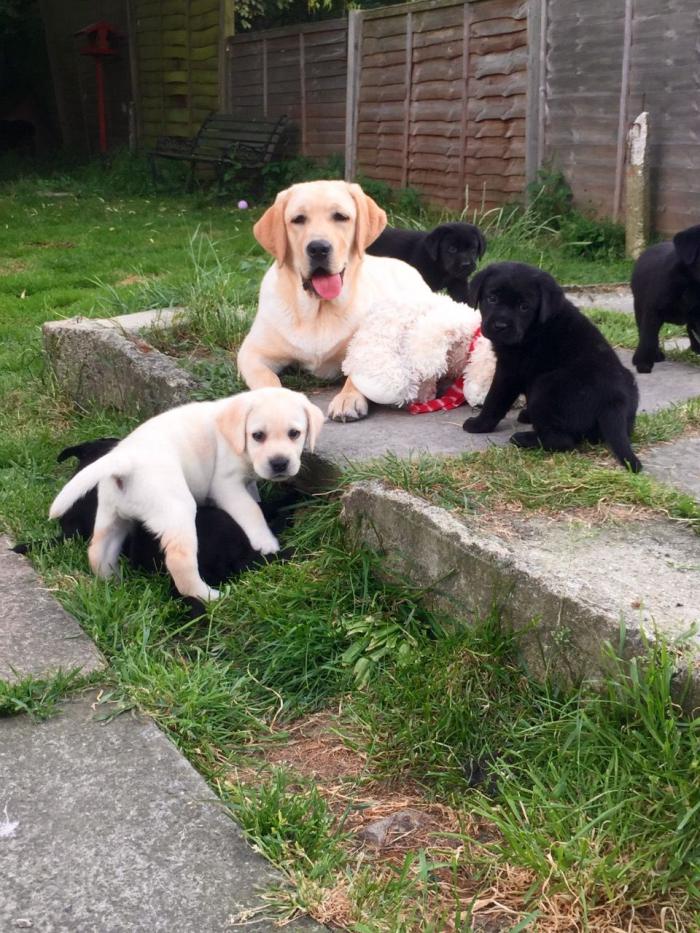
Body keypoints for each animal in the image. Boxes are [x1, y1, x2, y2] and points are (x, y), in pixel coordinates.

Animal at [49, 390, 326, 600]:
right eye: (258, 435)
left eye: (295, 433)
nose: (279, 463)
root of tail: (125, 461)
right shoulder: (227, 485)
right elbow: (252, 510)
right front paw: (266, 542)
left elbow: (255, 496)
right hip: (176, 510)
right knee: (180, 562)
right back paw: (210, 596)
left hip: (112, 515)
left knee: (98, 550)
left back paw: (112, 582)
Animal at [238, 180, 432, 420]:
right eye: (298, 219)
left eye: (340, 216)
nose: (318, 248)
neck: (319, 312)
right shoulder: (252, 353)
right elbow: (267, 379)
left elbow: (358, 375)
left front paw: (348, 399)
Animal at [462, 260, 644, 474]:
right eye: (492, 298)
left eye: (524, 307)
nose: (500, 326)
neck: (536, 327)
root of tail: (614, 401)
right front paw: (526, 415)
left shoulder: (510, 370)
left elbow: (494, 399)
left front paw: (479, 424)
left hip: (546, 384)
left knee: (562, 441)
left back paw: (523, 439)